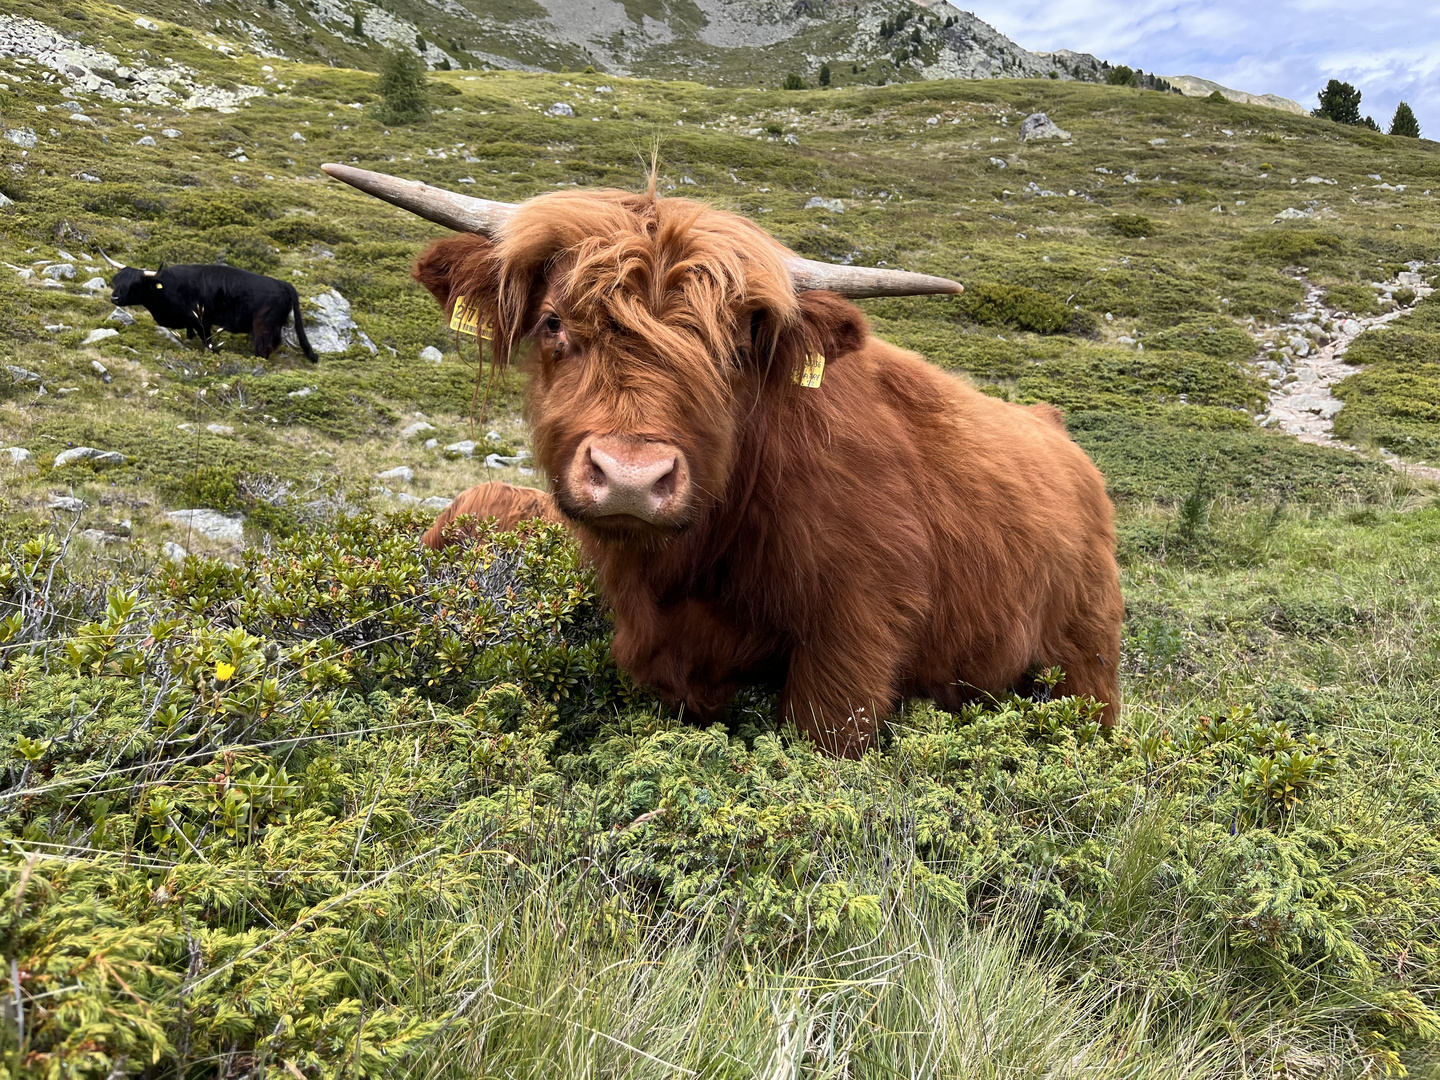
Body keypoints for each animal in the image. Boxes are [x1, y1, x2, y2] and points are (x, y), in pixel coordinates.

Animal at [109, 264, 318, 365]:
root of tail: (282, 283)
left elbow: (207, 342)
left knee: (263, 349)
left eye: (134, 284)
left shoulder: (202, 321)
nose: (114, 298)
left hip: (262, 326)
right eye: (117, 280)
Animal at [326, 164, 1123, 754]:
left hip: (1086, 666)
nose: (631, 477)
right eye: (553, 323)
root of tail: (1055, 429)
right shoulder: (676, 663)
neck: (700, 563)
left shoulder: (854, 644)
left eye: (734, 349)